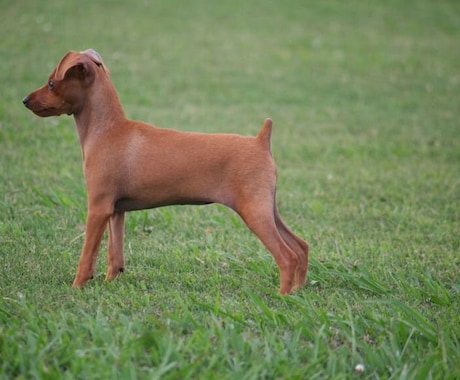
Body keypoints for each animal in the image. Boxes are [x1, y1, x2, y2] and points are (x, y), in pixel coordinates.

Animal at [22, 49, 310, 294]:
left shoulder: (98, 208)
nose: (24, 100)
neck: (108, 130)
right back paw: (298, 291)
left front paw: (77, 287)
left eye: (51, 83)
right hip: (267, 207)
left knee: (287, 256)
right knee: (301, 247)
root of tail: (261, 140)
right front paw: (110, 283)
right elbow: (115, 255)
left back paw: (283, 296)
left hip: (254, 210)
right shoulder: (115, 211)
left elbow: (87, 255)